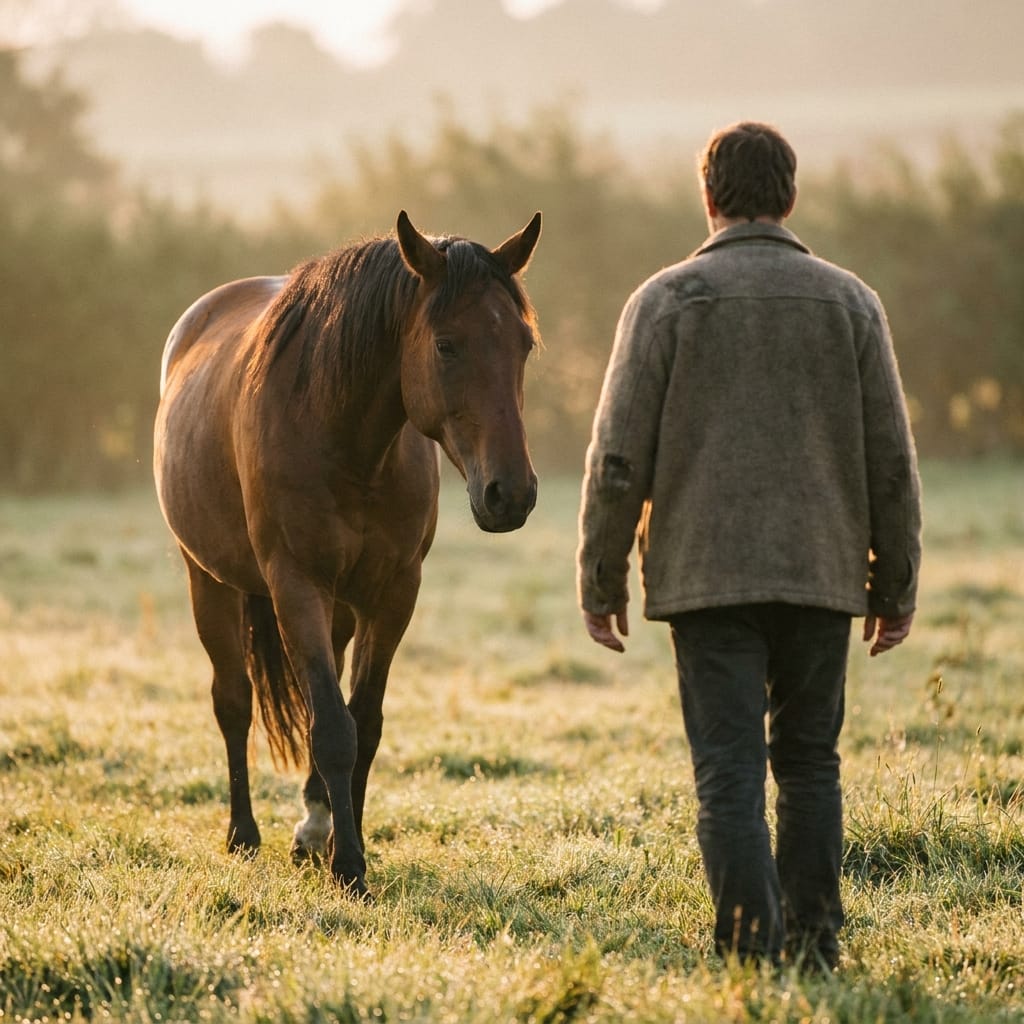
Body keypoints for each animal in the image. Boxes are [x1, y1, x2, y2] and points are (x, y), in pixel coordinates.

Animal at [154, 210, 542, 896]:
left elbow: (365, 722)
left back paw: (312, 825)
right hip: (210, 581)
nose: (511, 493)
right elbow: (334, 728)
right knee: (233, 701)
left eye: (524, 344)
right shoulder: (296, 586)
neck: (344, 440)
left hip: (336, 607)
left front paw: (339, 839)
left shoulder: (393, 594)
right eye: (446, 345)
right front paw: (350, 868)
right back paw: (243, 835)